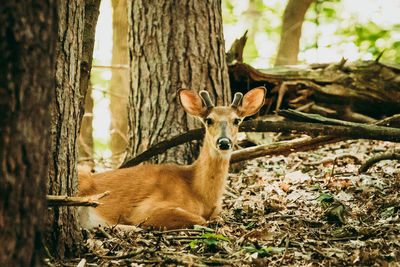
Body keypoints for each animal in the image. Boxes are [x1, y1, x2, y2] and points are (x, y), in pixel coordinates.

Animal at [77, 86, 266, 230]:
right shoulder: (145, 209)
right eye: (209, 120)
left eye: (237, 120)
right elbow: (200, 219)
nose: (224, 142)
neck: (199, 192)